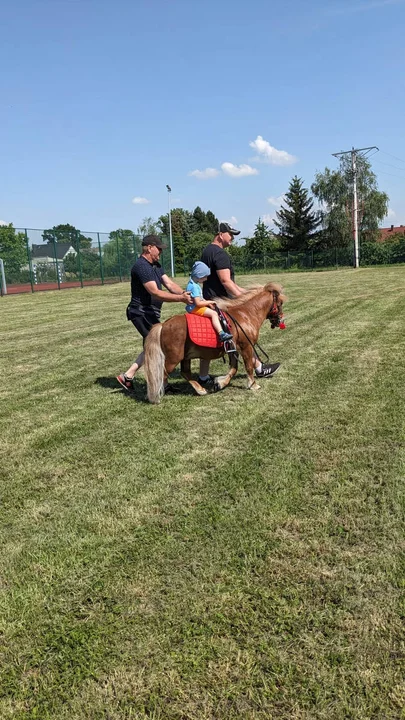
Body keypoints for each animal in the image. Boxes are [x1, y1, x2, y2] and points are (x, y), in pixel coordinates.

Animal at [144, 282, 286, 404]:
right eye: (280, 303)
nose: (281, 320)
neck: (245, 315)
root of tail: (163, 325)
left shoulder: (233, 349)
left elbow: (233, 369)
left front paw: (219, 383)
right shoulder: (246, 347)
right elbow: (249, 366)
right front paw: (253, 385)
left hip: (185, 356)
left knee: (184, 372)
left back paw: (200, 390)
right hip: (174, 358)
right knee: (161, 374)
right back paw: (155, 396)